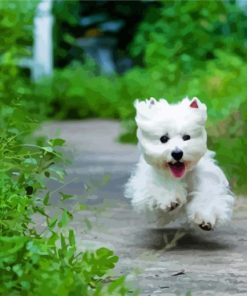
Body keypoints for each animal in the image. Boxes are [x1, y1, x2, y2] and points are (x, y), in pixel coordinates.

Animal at [125, 97, 233, 231]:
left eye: (186, 137)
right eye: (163, 138)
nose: (177, 153)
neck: (181, 175)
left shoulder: (207, 180)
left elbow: (207, 196)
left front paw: (205, 218)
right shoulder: (147, 185)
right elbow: (160, 187)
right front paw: (171, 200)